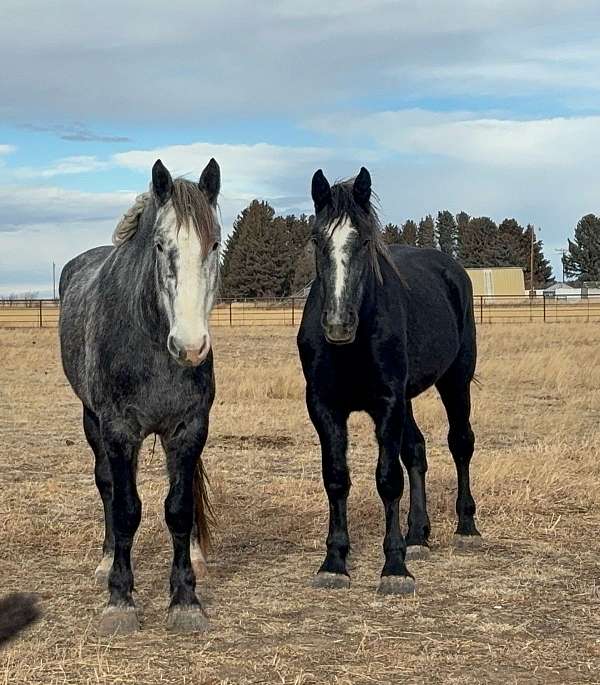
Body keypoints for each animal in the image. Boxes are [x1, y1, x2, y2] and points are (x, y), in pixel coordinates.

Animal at [59, 158, 221, 633]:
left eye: (215, 244)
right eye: (161, 246)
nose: (189, 346)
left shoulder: (188, 429)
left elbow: (179, 509)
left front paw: (186, 600)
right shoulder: (118, 431)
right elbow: (127, 508)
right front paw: (120, 600)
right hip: (92, 422)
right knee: (107, 487)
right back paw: (106, 559)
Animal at [297, 167, 480, 595]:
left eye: (364, 241)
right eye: (316, 239)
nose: (338, 325)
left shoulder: (387, 403)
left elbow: (388, 479)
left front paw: (394, 567)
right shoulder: (325, 407)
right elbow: (337, 478)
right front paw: (335, 562)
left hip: (455, 380)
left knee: (460, 443)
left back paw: (466, 528)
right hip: (408, 399)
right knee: (416, 451)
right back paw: (418, 537)